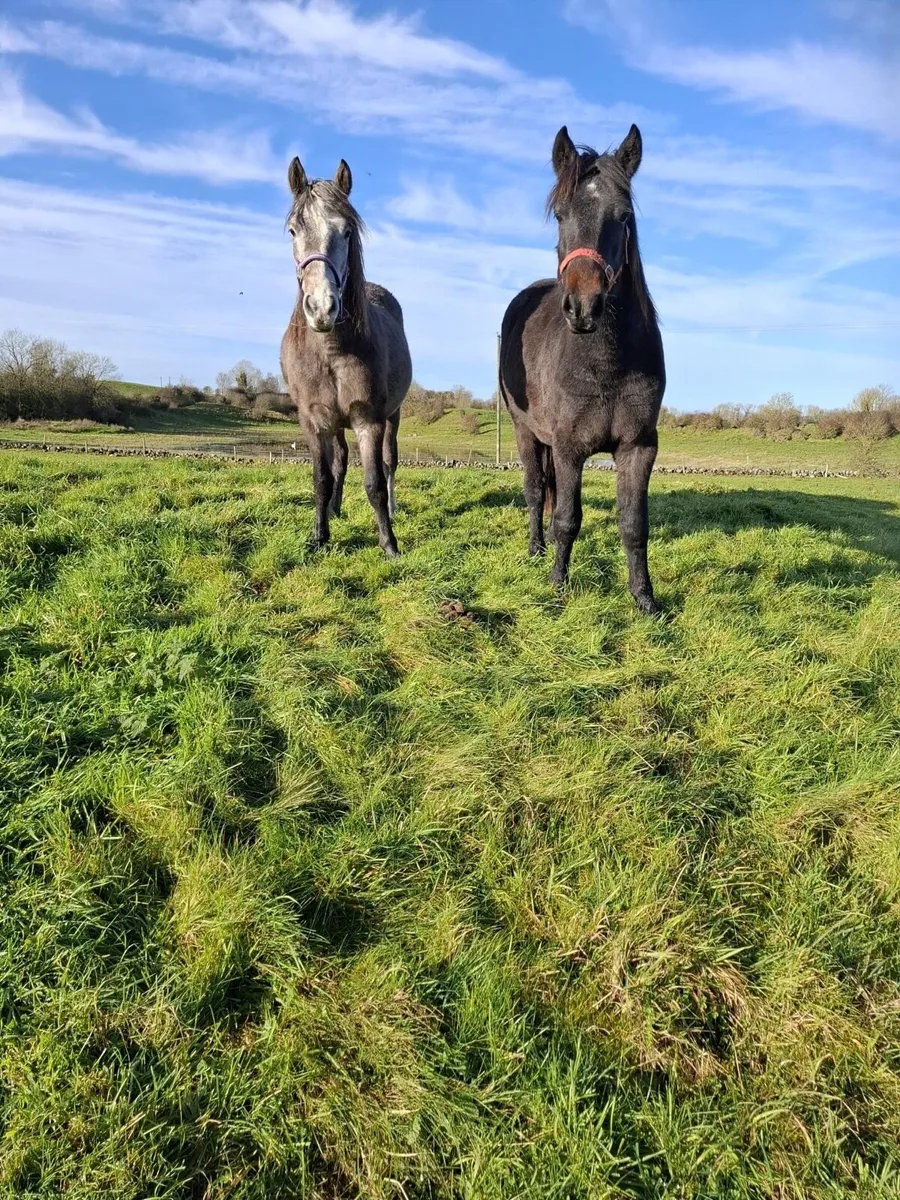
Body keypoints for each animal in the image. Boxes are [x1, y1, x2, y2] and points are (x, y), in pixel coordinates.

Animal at [280, 156, 412, 557]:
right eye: (293, 230)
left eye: (348, 232)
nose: (322, 308)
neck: (331, 351)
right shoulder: (313, 421)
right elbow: (322, 478)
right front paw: (319, 535)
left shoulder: (369, 420)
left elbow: (374, 481)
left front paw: (389, 544)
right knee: (339, 461)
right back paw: (335, 510)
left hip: (392, 417)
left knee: (389, 463)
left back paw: (393, 508)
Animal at [499, 124, 665, 615]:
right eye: (559, 214)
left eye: (624, 216)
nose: (583, 306)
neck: (606, 363)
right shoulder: (569, 447)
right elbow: (567, 518)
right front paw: (557, 585)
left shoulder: (638, 448)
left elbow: (634, 524)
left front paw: (645, 599)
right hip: (526, 432)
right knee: (536, 491)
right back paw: (536, 549)